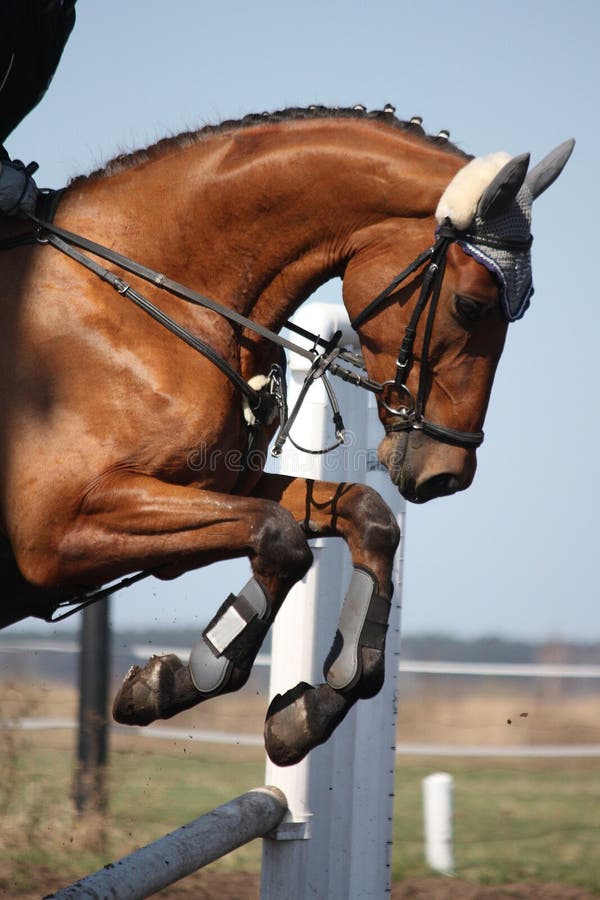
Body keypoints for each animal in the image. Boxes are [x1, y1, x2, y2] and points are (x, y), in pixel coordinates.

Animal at [0, 109, 572, 764]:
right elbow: (280, 539)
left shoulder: (219, 490)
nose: (447, 473)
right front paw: (184, 677)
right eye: (470, 305)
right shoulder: (61, 530)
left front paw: (309, 708)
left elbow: (364, 517)